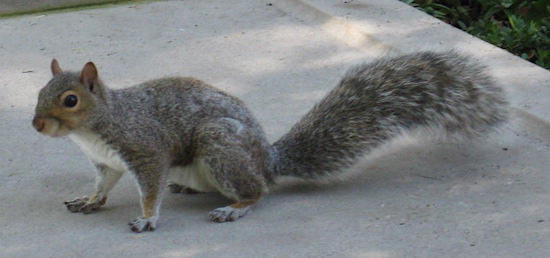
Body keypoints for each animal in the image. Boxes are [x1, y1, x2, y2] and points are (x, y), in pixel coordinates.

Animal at [33, 50, 508, 232]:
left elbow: (149, 188)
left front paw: (148, 219)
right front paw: (90, 201)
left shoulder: (144, 150)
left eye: (70, 99)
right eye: (39, 91)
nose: (36, 126)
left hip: (219, 145)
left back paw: (235, 206)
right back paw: (189, 188)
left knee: (257, 190)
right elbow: (102, 185)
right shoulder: (108, 162)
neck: (95, 128)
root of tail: (268, 159)